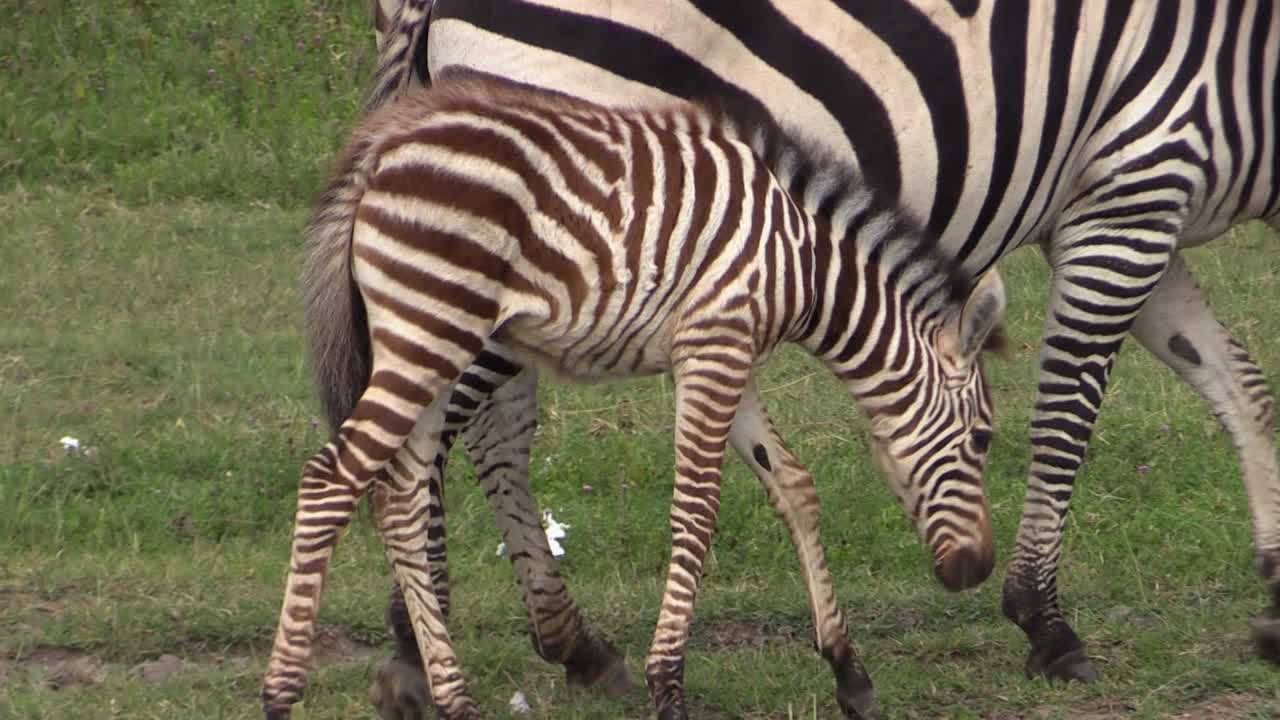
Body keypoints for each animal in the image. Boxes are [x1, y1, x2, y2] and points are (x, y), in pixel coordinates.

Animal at [262, 74, 1007, 720]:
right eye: (982, 439)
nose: (978, 571)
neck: (806, 265)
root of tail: (380, 149)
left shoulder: (725, 357)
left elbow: (794, 486)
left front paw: (848, 670)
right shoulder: (714, 348)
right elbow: (696, 514)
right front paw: (667, 685)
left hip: (429, 344)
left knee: (401, 495)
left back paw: (453, 698)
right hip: (431, 330)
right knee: (332, 479)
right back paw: (280, 693)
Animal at [357, 1, 1280, 711]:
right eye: (983, 440)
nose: (972, 571)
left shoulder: (1134, 222)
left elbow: (1238, 385)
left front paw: (1273, 594)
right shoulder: (1132, 188)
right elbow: (1068, 418)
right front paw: (1045, 622)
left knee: (484, 423)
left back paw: (564, 642)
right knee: (436, 430)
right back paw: (417, 643)